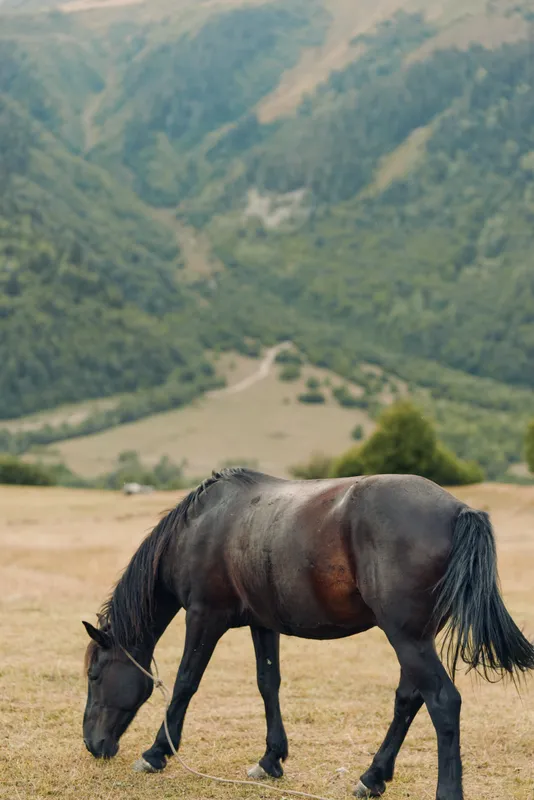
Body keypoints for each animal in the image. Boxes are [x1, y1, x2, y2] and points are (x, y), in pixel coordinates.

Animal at [82, 468, 534, 800]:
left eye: (93, 675)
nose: (91, 744)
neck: (203, 527)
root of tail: (458, 510)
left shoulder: (204, 617)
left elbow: (185, 683)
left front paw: (157, 752)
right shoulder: (262, 624)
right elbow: (268, 683)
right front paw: (270, 759)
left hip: (407, 638)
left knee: (442, 701)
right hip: (416, 639)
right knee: (409, 699)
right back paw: (372, 777)